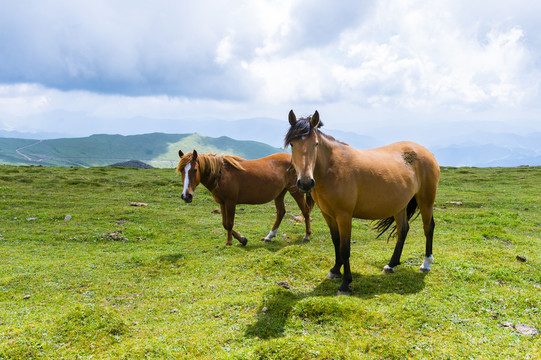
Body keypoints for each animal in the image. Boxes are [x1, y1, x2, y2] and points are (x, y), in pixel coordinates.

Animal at [177, 150, 312, 246]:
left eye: (195, 170)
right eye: (182, 171)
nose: (186, 196)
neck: (221, 174)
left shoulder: (230, 202)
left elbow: (229, 223)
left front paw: (229, 242)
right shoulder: (222, 203)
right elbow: (225, 224)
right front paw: (242, 239)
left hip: (296, 191)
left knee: (305, 211)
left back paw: (307, 236)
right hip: (279, 194)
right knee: (281, 212)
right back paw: (269, 236)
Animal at [284, 110, 436, 296]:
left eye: (316, 144)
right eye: (292, 144)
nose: (305, 183)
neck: (332, 169)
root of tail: (425, 151)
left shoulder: (344, 216)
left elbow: (345, 248)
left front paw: (345, 284)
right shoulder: (328, 214)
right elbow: (336, 242)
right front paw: (335, 270)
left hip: (426, 201)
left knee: (428, 228)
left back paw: (426, 263)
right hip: (400, 205)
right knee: (403, 230)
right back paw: (391, 265)